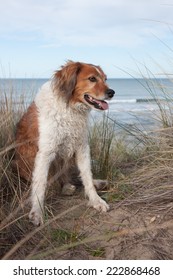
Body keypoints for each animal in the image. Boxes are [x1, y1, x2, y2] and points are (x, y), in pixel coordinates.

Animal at [14, 60, 115, 225]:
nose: (111, 92)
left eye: (105, 79)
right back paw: (67, 187)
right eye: (92, 79)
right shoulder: (45, 153)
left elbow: (87, 176)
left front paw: (96, 200)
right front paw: (37, 212)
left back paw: (96, 182)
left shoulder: (82, 148)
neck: (70, 108)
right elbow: (40, 184)